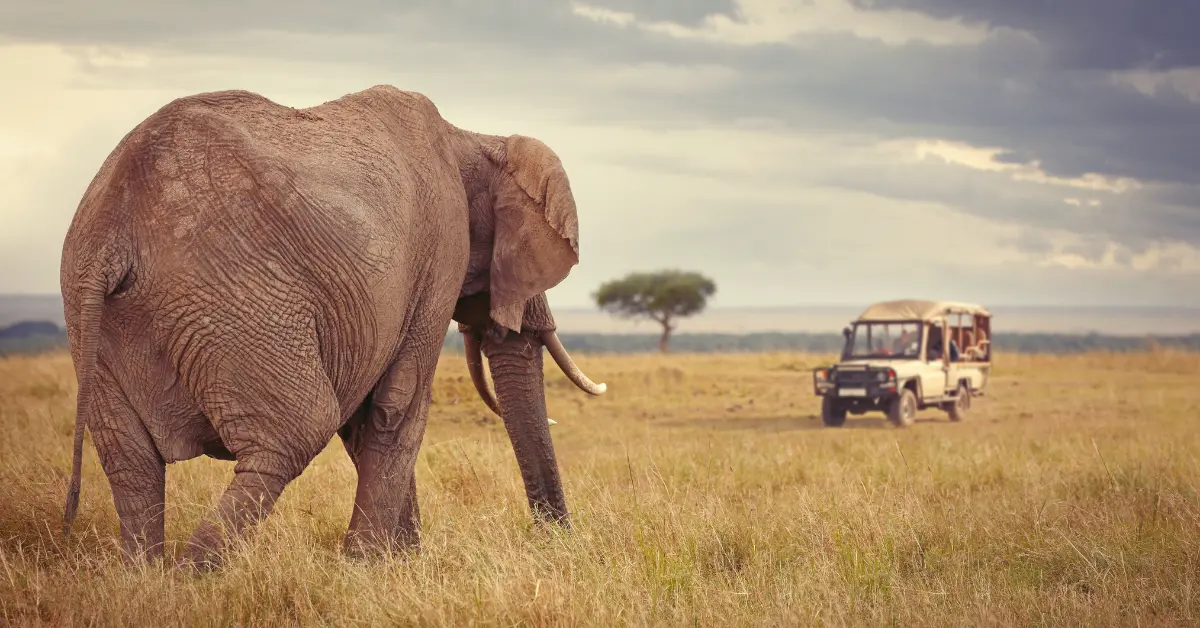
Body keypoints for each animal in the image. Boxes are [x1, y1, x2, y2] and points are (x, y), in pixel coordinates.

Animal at [55, 84, 604, 569]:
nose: (556, 541)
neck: (471, 138)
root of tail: (110, 234)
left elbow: (366, 416)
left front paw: (395, 563)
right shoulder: (441, 251)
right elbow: (397, 405)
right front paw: (369, 567)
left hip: (93, 320)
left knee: (130, 462)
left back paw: (146, 578)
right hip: (233, 297)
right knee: (296, 431)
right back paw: (192, 576)